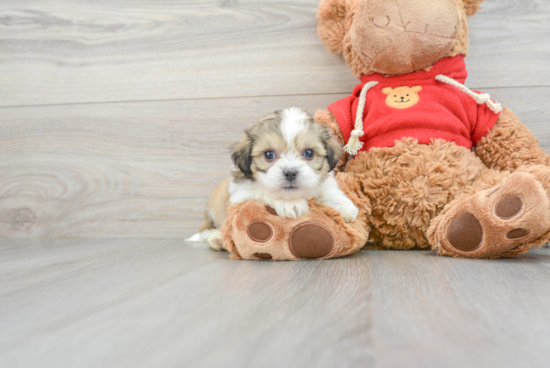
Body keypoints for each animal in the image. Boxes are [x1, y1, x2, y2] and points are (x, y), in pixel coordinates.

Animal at [190, 107, 360, 250]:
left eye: (309, 153)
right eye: (269, 155)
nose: (290, 173)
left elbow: (328, 190)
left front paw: (344, 205)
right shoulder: (240, 194)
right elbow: (264, 192)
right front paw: (290, 204)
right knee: (204, 231)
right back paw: (216, 237)